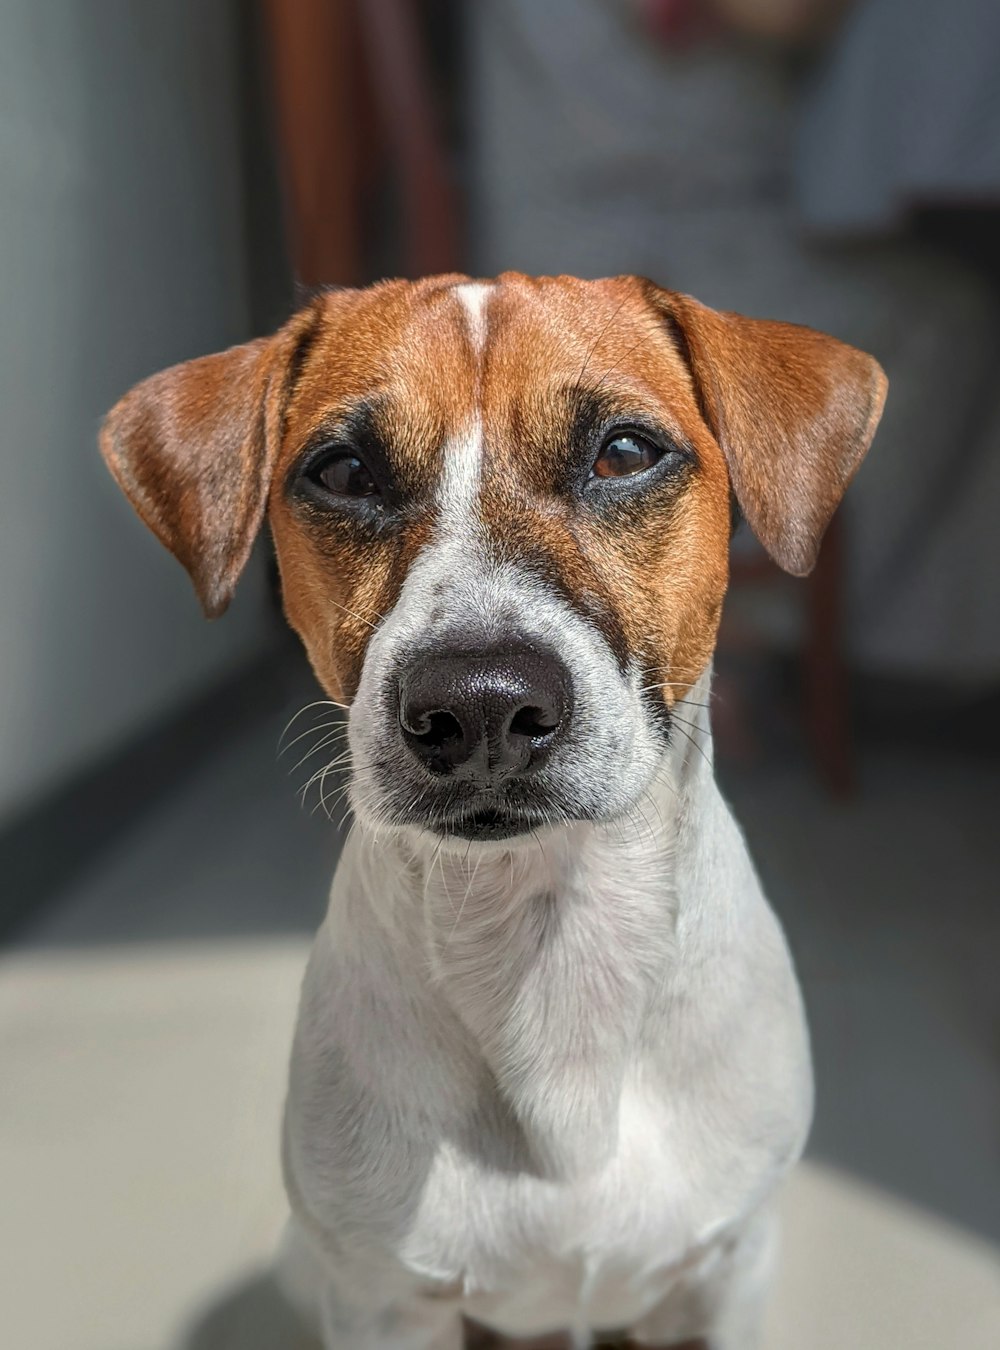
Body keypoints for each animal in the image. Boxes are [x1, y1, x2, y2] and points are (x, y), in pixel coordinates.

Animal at [99, 268, 879, 1344]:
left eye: (624, 452)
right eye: (343, 471)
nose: (477, 704)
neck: (546, 946)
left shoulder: (722, 1274)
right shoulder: (383, 1299)